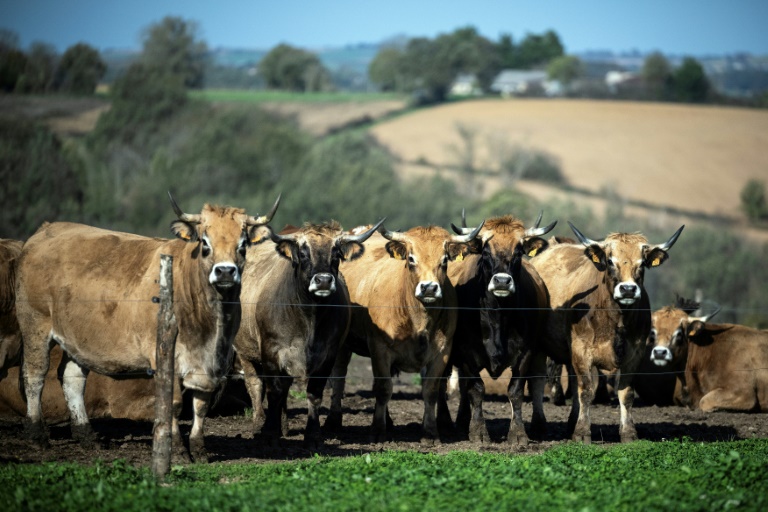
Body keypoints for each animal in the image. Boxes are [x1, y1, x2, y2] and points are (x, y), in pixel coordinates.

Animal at [13, 193, 280, 464]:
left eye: (243, 244)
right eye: (205, 243)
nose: (225, 271)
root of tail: (46, 230)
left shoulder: (212, 361)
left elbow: (201, 405)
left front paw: (199, 449)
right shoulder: (165, 357)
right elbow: (173, 404)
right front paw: (178, 451)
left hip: (77, 339)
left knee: (72, 379)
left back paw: (86, 435)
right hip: (35, 325)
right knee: (34, 375)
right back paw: (37, 435)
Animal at [231, 220, 380, 448]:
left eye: (336, 252)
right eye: (303, 252)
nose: (324, 280)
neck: (309, 316)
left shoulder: (328, 355)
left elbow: (314, 393)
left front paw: (313, 434)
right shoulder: (271, 352)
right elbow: (273, 391)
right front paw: (269, 432)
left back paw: (283, 426)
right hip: (245, 352)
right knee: (255, 385)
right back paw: (259, 424)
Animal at [328, 222, 484, 442]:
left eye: (444, 259)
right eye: (411, 258)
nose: (429, 288)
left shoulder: (442, 352)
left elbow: (430, 390)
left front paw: (430, 432)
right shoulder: (380, 349)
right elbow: (384, 389)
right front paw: (377, 431)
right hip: (343, 345)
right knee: (339, 378)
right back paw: (333, 421)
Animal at [440, 212, 556, 444]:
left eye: (518, 251)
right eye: (486, 251)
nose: (502, 281)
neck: (497, 316)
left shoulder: (526, 352)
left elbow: (516, 391)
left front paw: (518, 433)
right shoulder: (467, 353)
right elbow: (476, 389)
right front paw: (478, 431)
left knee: (538, 382)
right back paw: (449, 424)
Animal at [528, 222, 684, 442]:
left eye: (642, 263)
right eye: (610, 261)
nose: (628, 289)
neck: (615, 319)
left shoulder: (634, 355)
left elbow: (625, 393)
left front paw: (628, 433)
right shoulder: (581, 350)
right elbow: (586, 391)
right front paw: (582, 433)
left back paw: (571, 423)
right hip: (540, 347)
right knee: (538, 380)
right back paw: (539, 425)